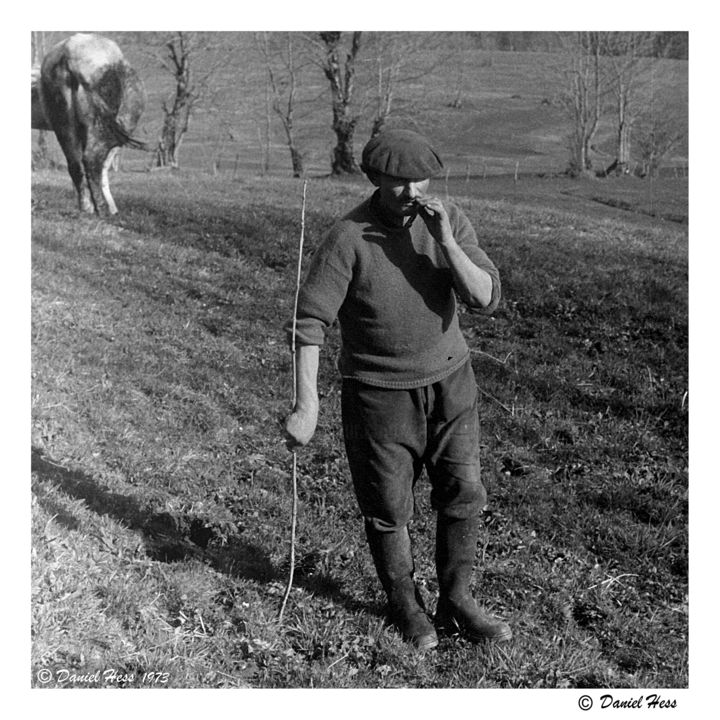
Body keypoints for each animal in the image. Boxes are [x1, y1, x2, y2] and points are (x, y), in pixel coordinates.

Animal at [31, 33, 147, 214]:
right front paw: (113, 208)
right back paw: (102, 209)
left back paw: (86, 208)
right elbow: (105, 166)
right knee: (92, 159)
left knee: (75, 163)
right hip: (100, 126)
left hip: (62, 120)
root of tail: (71, 50)